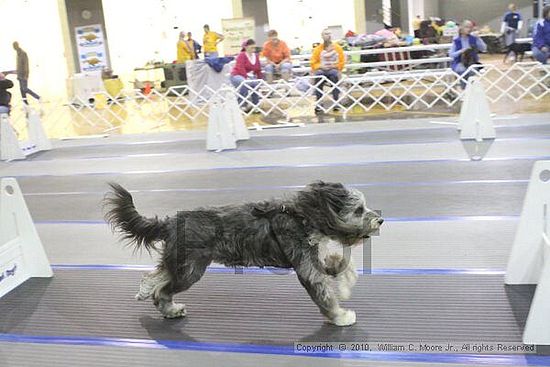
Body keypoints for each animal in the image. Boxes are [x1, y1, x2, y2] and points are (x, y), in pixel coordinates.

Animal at [105, 182, 386, 328]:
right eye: (359, 210)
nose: (380, 220)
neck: (303, 216)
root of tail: (172, 221)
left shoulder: (314, 258)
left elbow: (339, 265)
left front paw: (347, 283)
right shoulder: (307, 268)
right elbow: (324, 295)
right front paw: (340, 317)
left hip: (183, 264)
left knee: (158, 279)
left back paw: (163, 304)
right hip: (190, 269)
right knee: (161, 286)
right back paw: (158, 299)